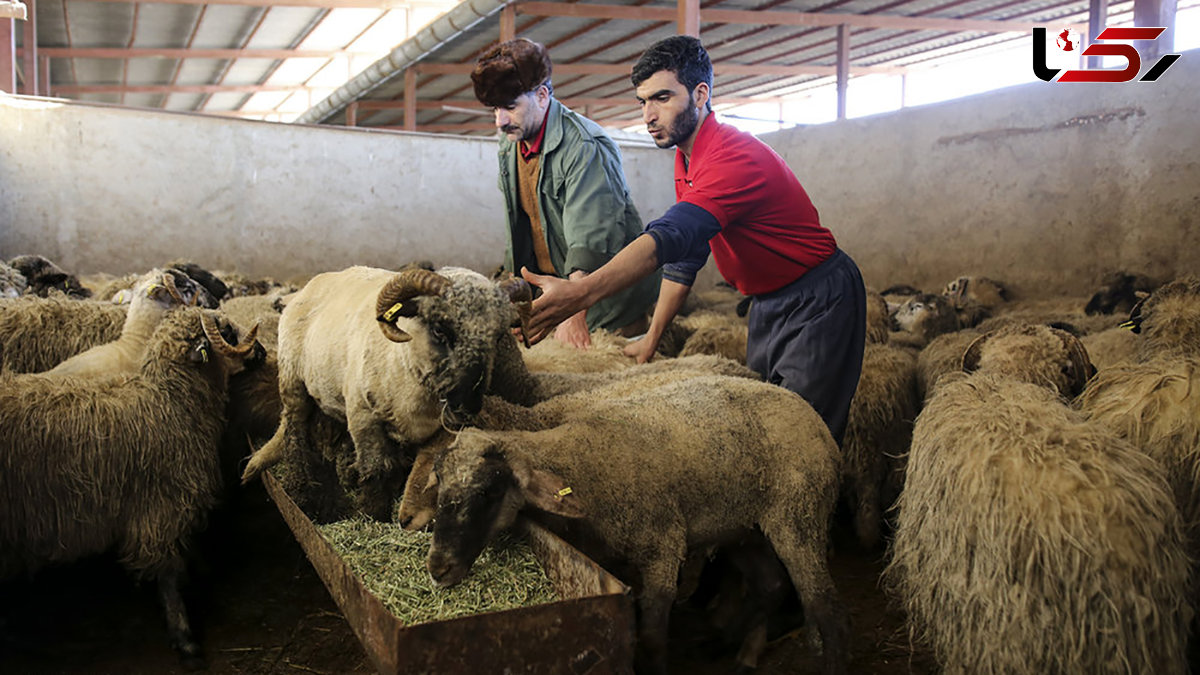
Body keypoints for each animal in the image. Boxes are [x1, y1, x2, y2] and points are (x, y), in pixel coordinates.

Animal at [0, 306, 262, 662]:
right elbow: (167, 573)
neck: (169, 402)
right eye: (227, 332)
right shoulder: (158, 507)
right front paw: (184, 636)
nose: (262, 352)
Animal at [240, 265, 540, 516]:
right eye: (440, 330)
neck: (405, 363)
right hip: (293, 383)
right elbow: (376, 469)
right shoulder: (364, 419)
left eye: (498, 337)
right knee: (294, 433)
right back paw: (304, 494)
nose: (467, 405)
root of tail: (309, 286)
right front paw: (373, 513)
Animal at [427, 372, 849, 672]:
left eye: (487, 492)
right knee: (770, 585)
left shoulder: (662, 546)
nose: (437, 568)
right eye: (439, 482)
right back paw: (722, 645)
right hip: (744, 528)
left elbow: (652, 635)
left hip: (798, 516)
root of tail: (813, 416)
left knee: (825, 606)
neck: (584, 458)